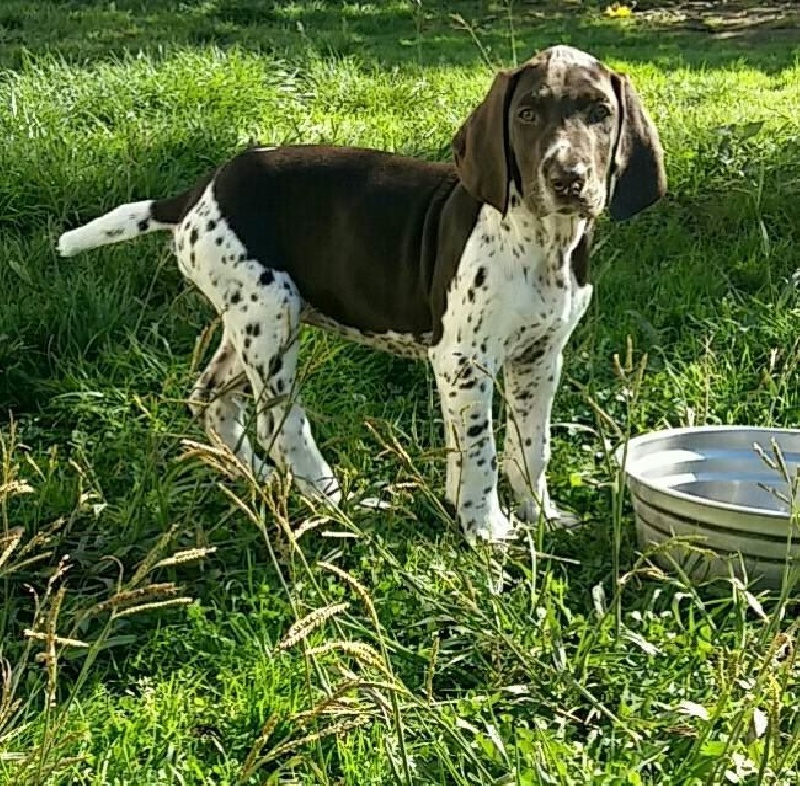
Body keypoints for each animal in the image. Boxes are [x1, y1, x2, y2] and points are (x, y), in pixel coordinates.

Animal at [56, 46, 664, 544]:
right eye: (527, 115)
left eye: (600, 113)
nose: (569, 179)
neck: (541, 242)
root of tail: (202, 190)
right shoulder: (464, 360)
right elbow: (482, 448)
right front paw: (486, 528)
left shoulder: (539, 357)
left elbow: (530, 447)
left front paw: (538, 515)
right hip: (271, 324)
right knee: (282, 426)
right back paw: (331, 501)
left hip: (247, 322)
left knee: (212, 400)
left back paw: (264, 484)